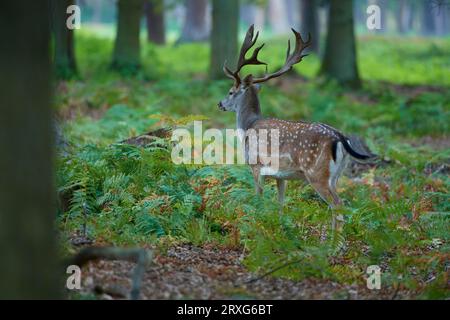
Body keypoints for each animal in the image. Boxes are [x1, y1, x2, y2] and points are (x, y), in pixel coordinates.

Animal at [217, 25, 372, 230]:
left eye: (230, 92)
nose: (220, 104)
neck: (248, 126)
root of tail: (340, 137)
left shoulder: (256, 166)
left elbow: (258, 198)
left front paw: (256, 224)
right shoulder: (281, 176)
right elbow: (281, 203)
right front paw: (279, 226)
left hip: (317, 173)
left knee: (337, 205)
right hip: (337, 175)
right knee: (340, 205)